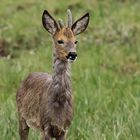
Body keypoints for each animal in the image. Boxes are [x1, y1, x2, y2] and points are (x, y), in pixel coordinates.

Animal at [15, 9, 89, 139]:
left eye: (75, 41)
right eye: (60, 41)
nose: (73, 54)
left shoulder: (65, 128)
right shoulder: (45, 126)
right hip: (22, 116)